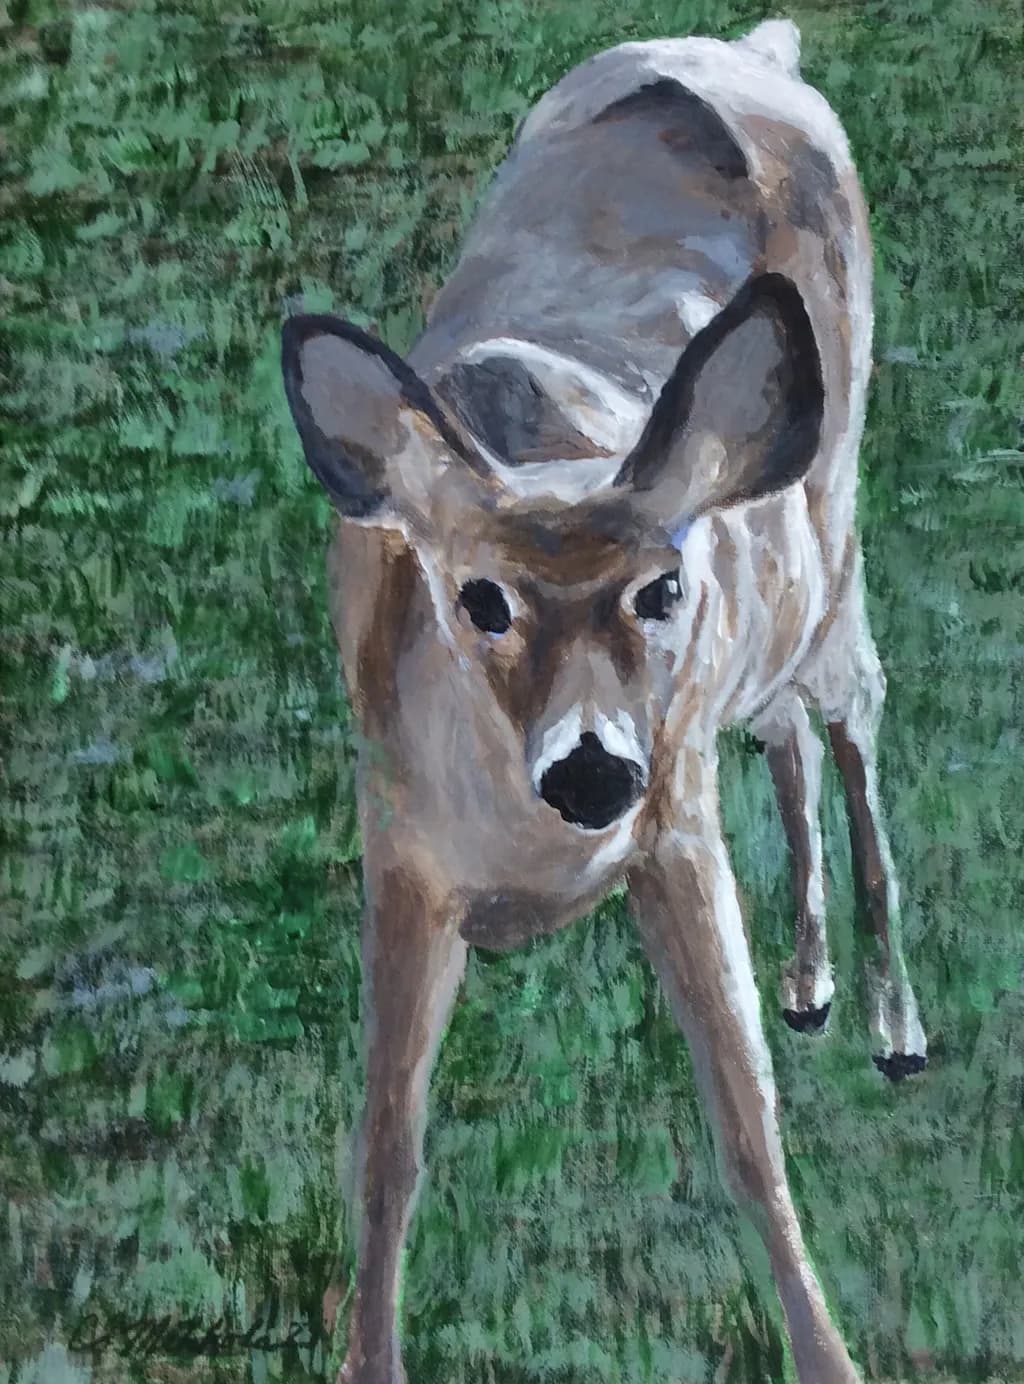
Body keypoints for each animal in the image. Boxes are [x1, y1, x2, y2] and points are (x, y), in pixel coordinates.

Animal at [280, 18, 927, 1384]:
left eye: (658, 585)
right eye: (475, 597)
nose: (590, 770)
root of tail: (757, 47)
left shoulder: (673, 824)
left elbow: (749, 1131)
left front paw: (831, 1359)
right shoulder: (395, 845)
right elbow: (384, 1149)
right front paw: (368, 1359)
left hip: (830, 547)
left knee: (851, 709)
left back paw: (893, 1020)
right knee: (782, 725)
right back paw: (810, 981)